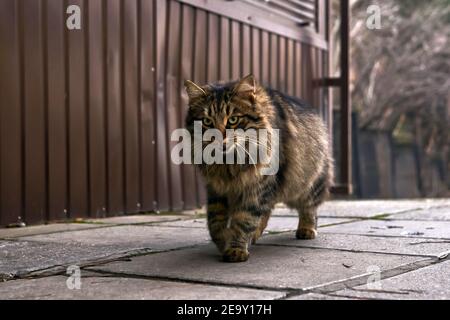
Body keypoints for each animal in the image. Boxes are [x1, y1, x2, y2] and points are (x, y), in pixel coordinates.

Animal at [184, 74, 334, 262]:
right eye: (207, 121)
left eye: (233, 120)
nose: (218, 139)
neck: (228, 165)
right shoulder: (217, 190)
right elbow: (215, 223)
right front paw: (223, 242)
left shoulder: (257, 188)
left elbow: (245, 220)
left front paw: (236, 249)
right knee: (267, 211)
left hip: (307, 184)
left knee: (309, 207)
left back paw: (306, 229)